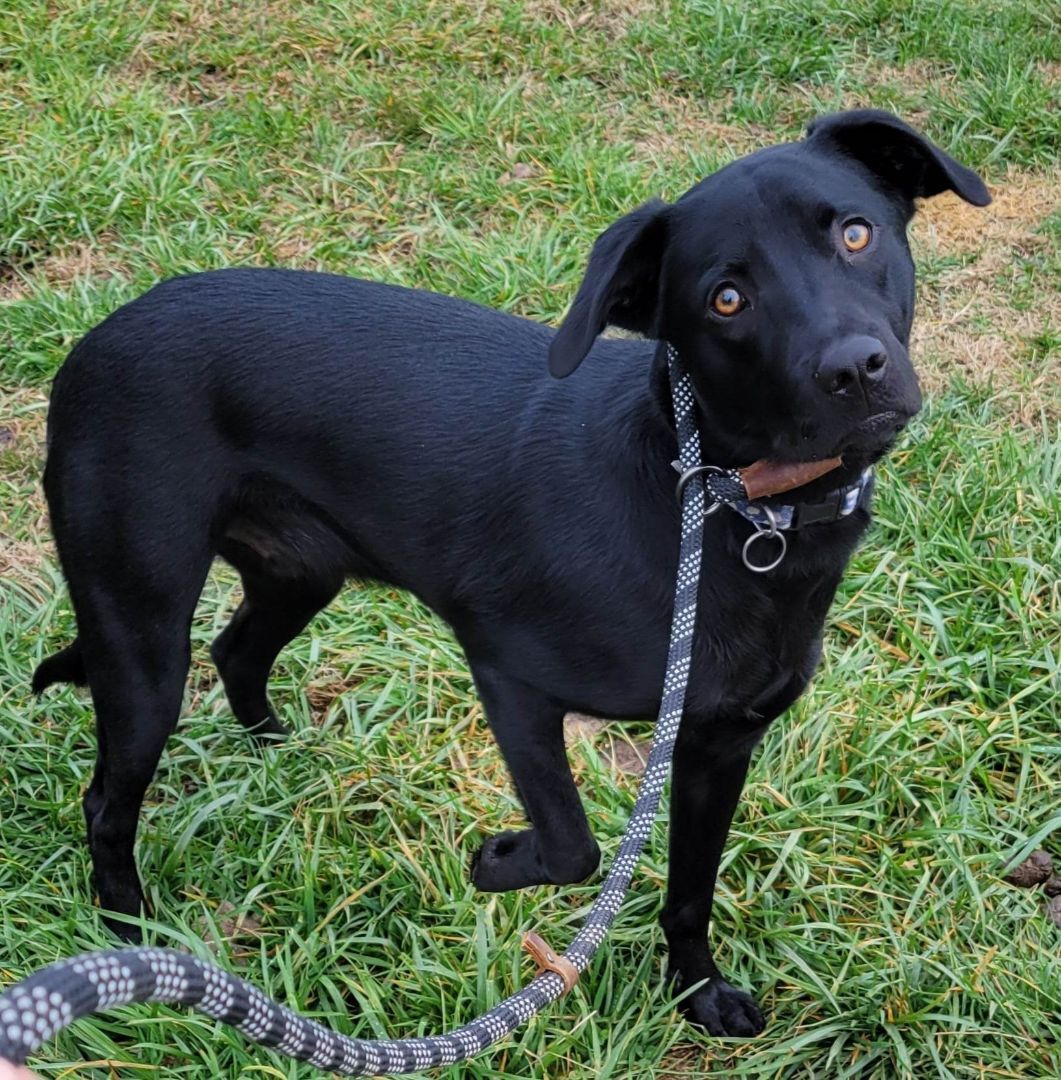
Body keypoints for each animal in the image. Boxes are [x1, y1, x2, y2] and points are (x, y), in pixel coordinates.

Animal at [35, 111, 998, 1036]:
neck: (721, 503)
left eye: (855, 234)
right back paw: (129, 935)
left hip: (299, 572)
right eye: (725, 299)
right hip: (140, 631)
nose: (853, 369)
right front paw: (498, 862)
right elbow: (574, 844)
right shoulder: (508, 672)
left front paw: (696, 994)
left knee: (238, 651)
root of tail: (95, 337)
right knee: (108, 800)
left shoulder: (718, 746)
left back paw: (280, 753)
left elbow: (690, 892)